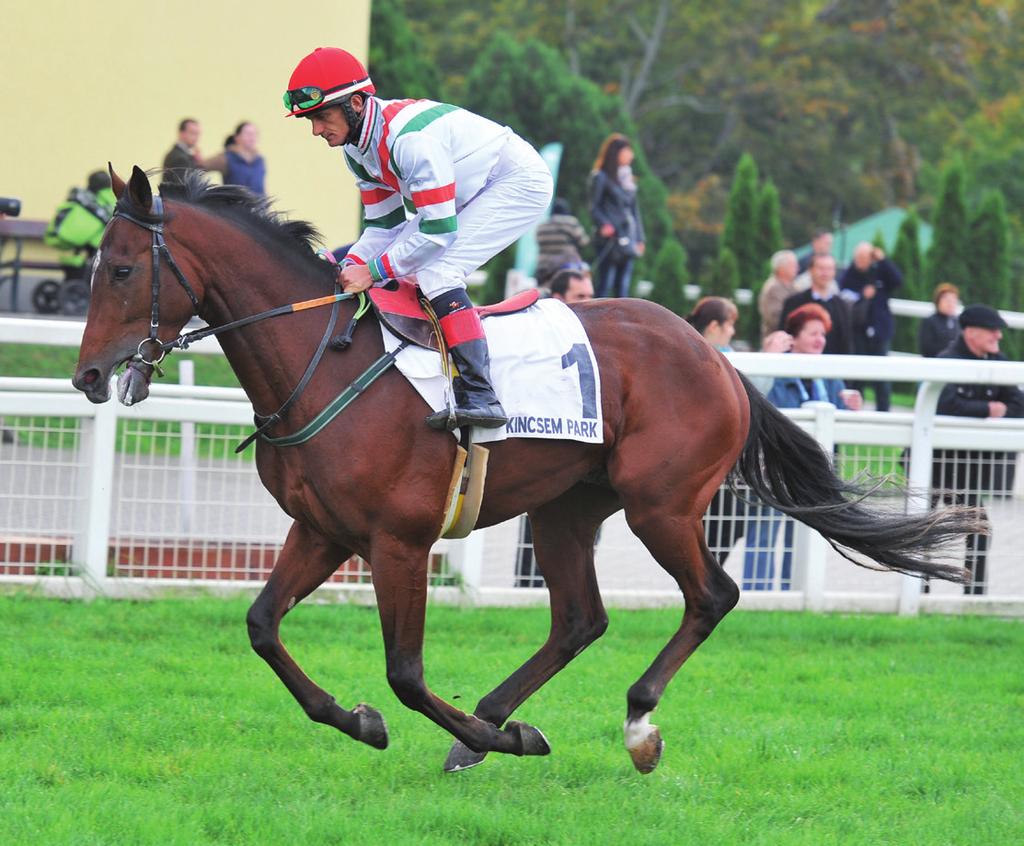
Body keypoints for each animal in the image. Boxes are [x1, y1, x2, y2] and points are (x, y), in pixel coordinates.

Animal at [72, 167, 974, 774]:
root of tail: (714, 355)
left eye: (121, 269)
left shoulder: (399, 541)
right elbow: (262, 627)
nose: (87, 375)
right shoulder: (323, 529)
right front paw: (366, 720)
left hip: (661, 503)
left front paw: (477, 734)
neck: (321, 361)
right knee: (579, 619)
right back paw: (498, 719)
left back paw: (630, 725)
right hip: (566, 508)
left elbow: (405, 674)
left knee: (711, 595)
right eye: (92, 266)